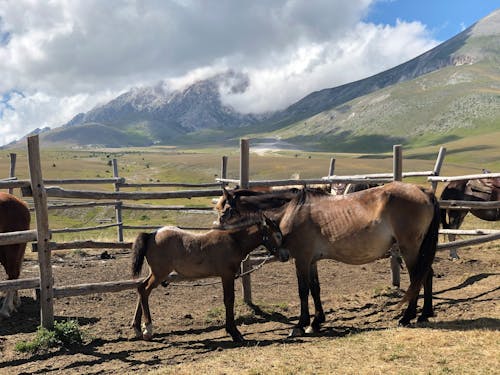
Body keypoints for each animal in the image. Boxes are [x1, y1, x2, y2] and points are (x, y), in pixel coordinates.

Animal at [131, 217, 284, 344]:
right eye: (277, 235)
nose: (285, 255)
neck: (233, 241)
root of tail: (152, 235)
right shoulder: (227, 276)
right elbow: (229, 300)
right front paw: (234, 333)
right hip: (159, 274)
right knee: (144, 290)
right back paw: (148, 330)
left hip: (155, 273)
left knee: (141, 289)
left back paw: (138, 328)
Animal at [217, 182, 440, 338]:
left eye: (226, 211)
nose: (219, 234)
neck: (291, 212)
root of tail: (423, 191)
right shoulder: (311, 260)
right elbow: (315, 289)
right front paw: (316, 322)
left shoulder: (301, 259)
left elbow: (303, 290)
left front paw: (300, 325)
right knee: (426, 274)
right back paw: (424, 314)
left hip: (409, 249)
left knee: (417, 277)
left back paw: (407, 317)